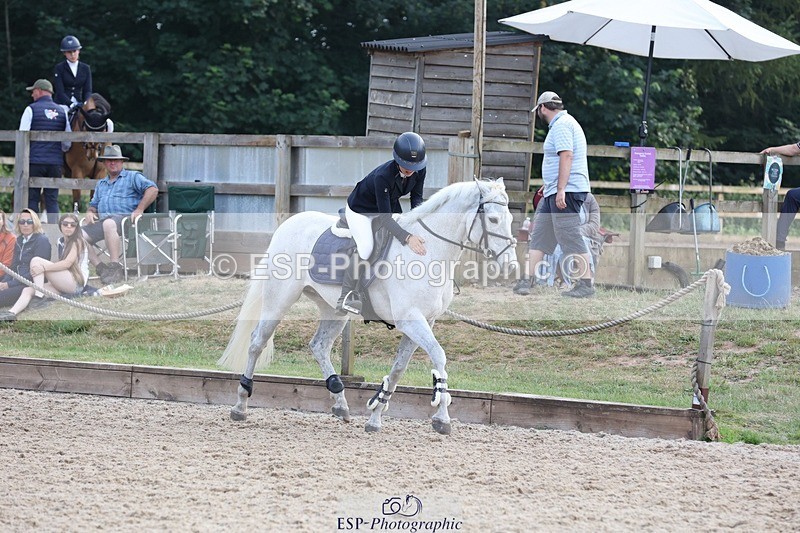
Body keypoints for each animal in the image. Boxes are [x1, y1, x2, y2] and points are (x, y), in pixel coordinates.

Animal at [217, 178, 517, 435]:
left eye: (511, 219)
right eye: (492, 219)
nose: (511, 266)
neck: (428, 252)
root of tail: (288, 225)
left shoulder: (424, 321)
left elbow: (398, 369)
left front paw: (375, 416)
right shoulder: (411, 319)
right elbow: (439, 356)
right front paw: (442, 418)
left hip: (334, 309)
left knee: (319, 345)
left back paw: (340, 402)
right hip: (280, 299)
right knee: (257, 341)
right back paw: (241, 405)